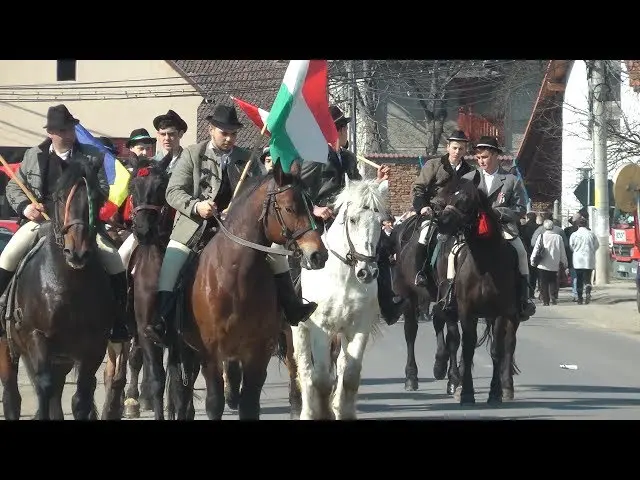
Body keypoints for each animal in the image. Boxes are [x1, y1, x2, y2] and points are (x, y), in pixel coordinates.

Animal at [168, 159, 328, 418]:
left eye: (310, 204)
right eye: (289, 208)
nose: (318, 255)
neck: (235, 278)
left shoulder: (259, 350)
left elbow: (250, 404)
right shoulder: (210, 353)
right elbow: (214, 403)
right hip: (184, 348)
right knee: (182, 391)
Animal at [290, 180, 384, 420]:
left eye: (381, 222)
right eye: (353, 220)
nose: (367, 272)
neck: (344, 278)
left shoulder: (358, 328)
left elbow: (349, 374)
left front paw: (343, 411)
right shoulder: (320, 329)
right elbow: (321, 378)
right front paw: (324, 412)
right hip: (300, 330)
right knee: (305, 369)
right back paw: (308, 412)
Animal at [438, 171, 524, 404]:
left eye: (467, 199)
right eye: (445, 197)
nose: (442, 222)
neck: (485, 264)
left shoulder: (501, 312)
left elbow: (497, 350)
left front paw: (495, 392)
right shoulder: (467, 311)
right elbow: (467, 348)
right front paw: (466, 391)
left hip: (511, 316)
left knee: (509, 345)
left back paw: (507, 387)